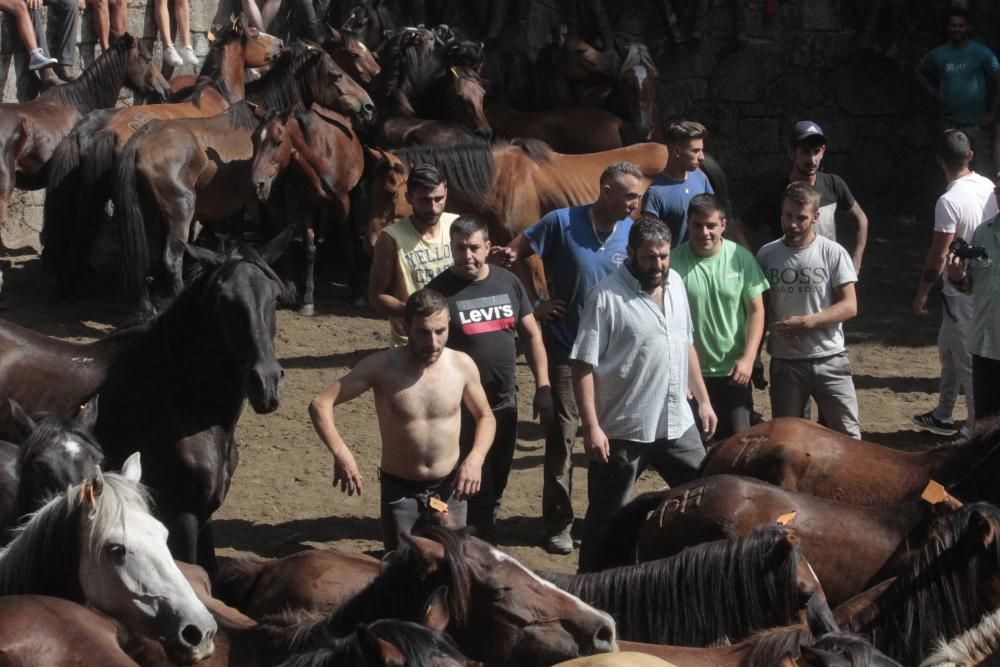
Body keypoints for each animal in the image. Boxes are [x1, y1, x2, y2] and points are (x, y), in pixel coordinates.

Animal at [252, 103, 366, 316]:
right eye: (253, 139)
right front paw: (307, 298)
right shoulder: (306, 206)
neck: (318, 159)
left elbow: (347, 244)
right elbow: (310, 249)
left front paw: (358, 292)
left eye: (278, 141)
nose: (258, 184)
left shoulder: (342, 202)